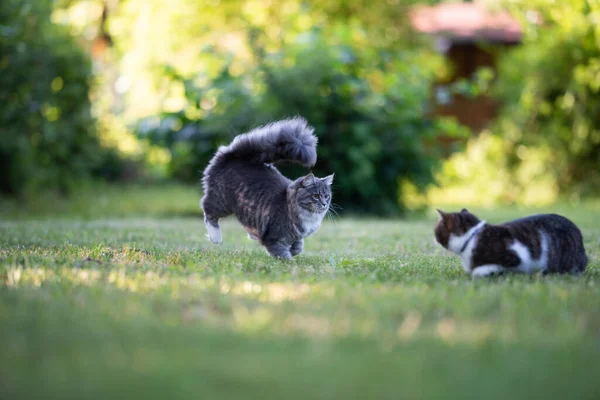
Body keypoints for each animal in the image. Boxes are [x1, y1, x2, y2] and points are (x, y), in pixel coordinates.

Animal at [200, 116, 332, 260]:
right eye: (316, 196)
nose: (324, 204)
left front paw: (293, 251)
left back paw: (253, 234)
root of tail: (231, 155)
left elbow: (298, 247)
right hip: (222, 202)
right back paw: (216, 238)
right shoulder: (275, 238)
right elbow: (283, 254)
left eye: (326, 196)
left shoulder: (296, 236)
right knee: (208, 211)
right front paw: (289, 262)